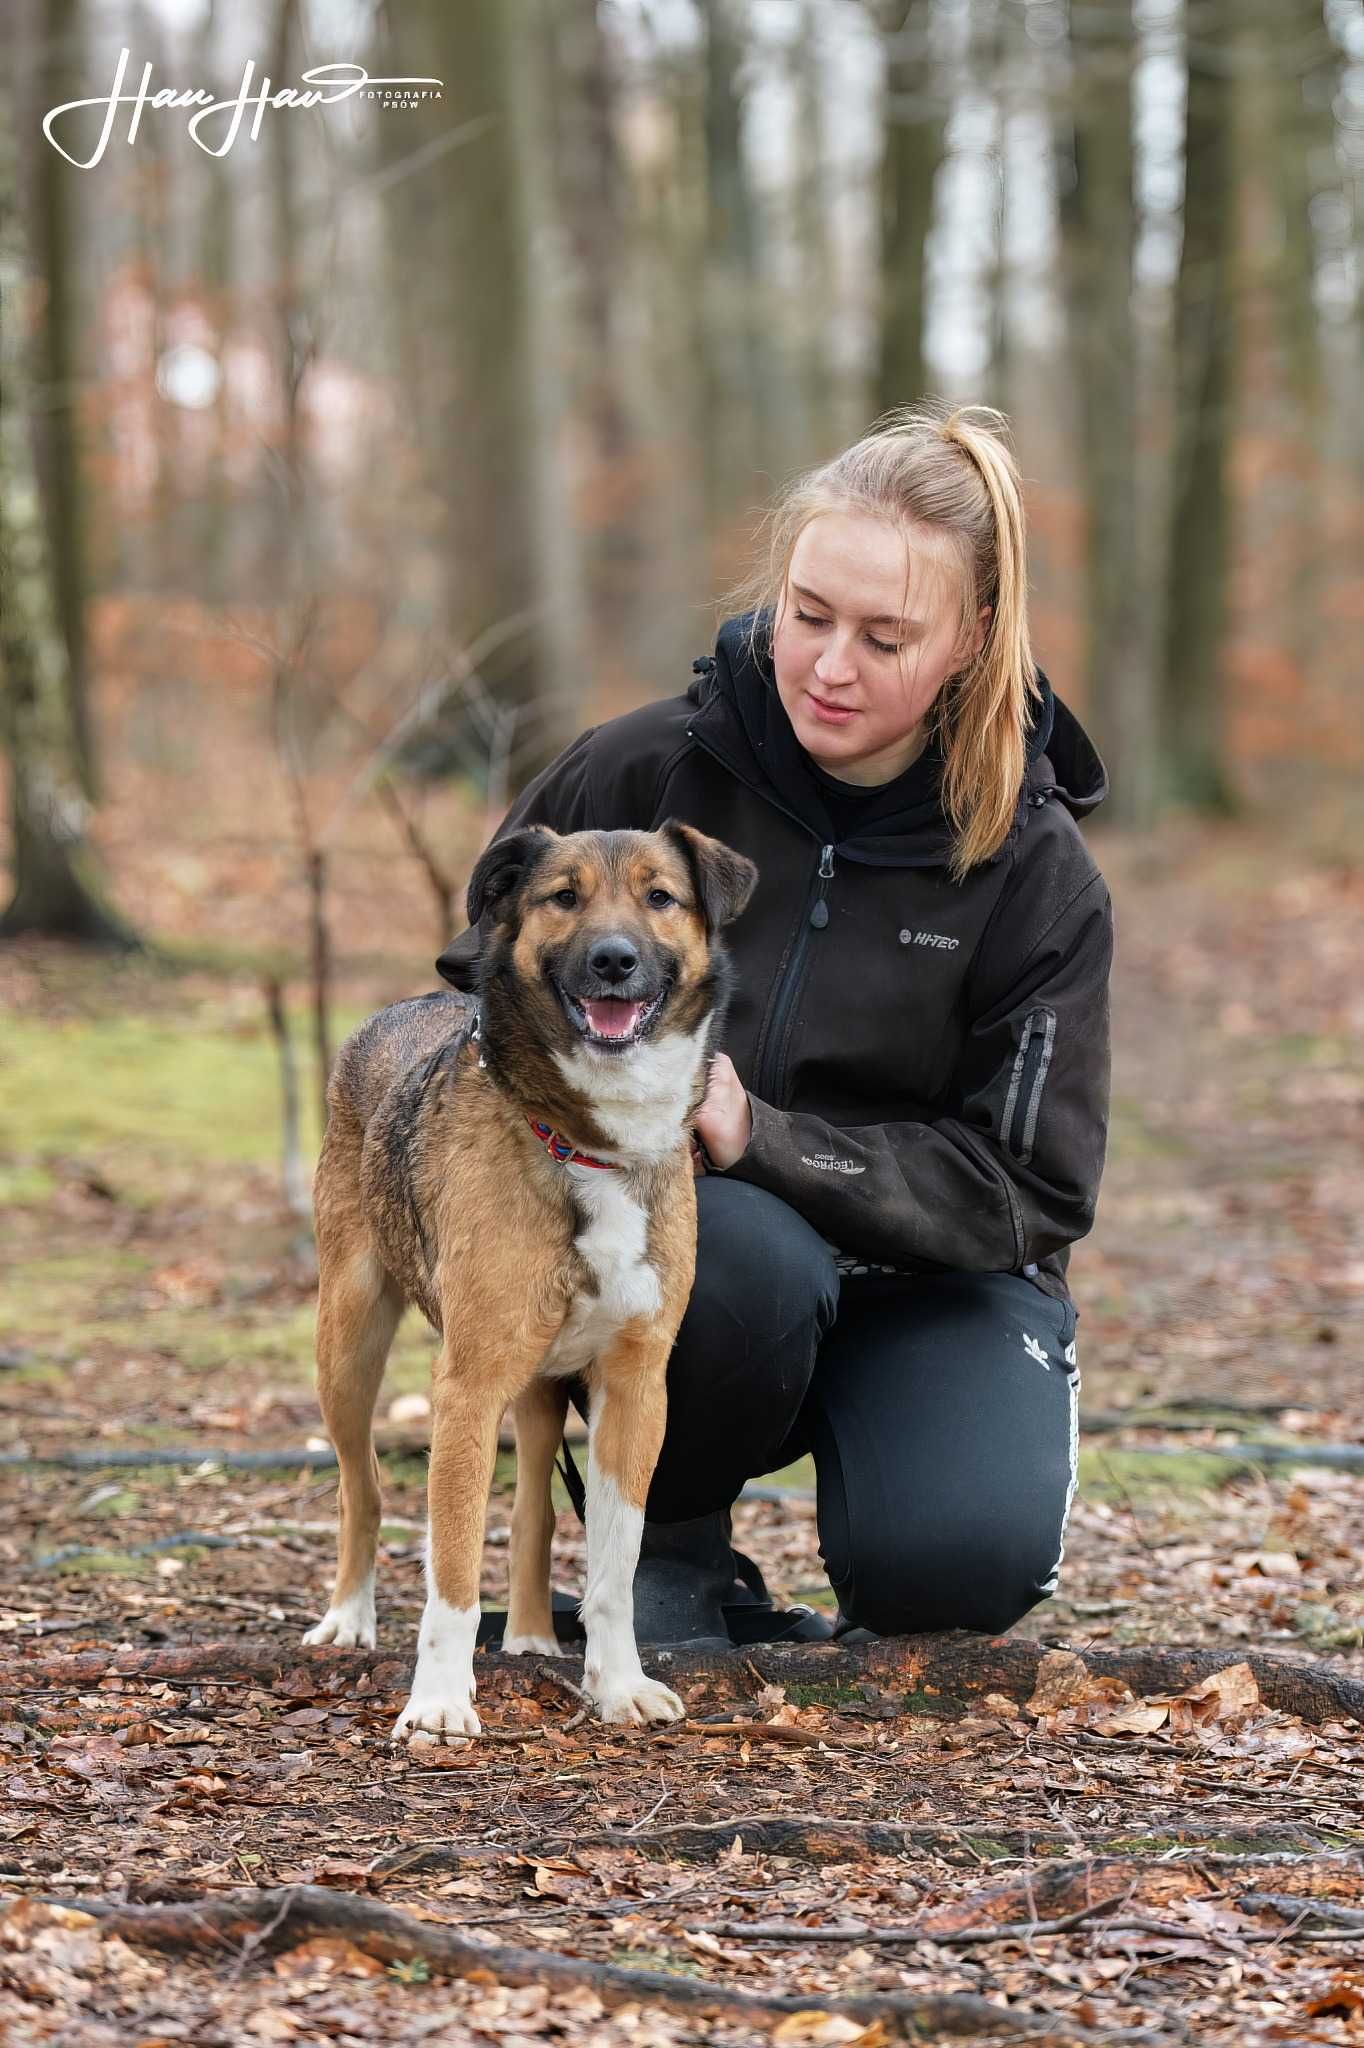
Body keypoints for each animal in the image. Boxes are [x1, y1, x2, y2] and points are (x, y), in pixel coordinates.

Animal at [299, 823, 757, 1736]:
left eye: (661, 897)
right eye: (563, 897)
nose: (615, 960)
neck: (589, 1142)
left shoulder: (635, 1386)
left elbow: (615, 1567)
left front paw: (617, 1684)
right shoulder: (467, 1386)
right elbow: (449, 1567)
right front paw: (439, 1701)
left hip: (540, 1387)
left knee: (535, 1508)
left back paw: (536, 1632)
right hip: (349, 1338)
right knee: (361, 1486)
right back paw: (349, 1617)